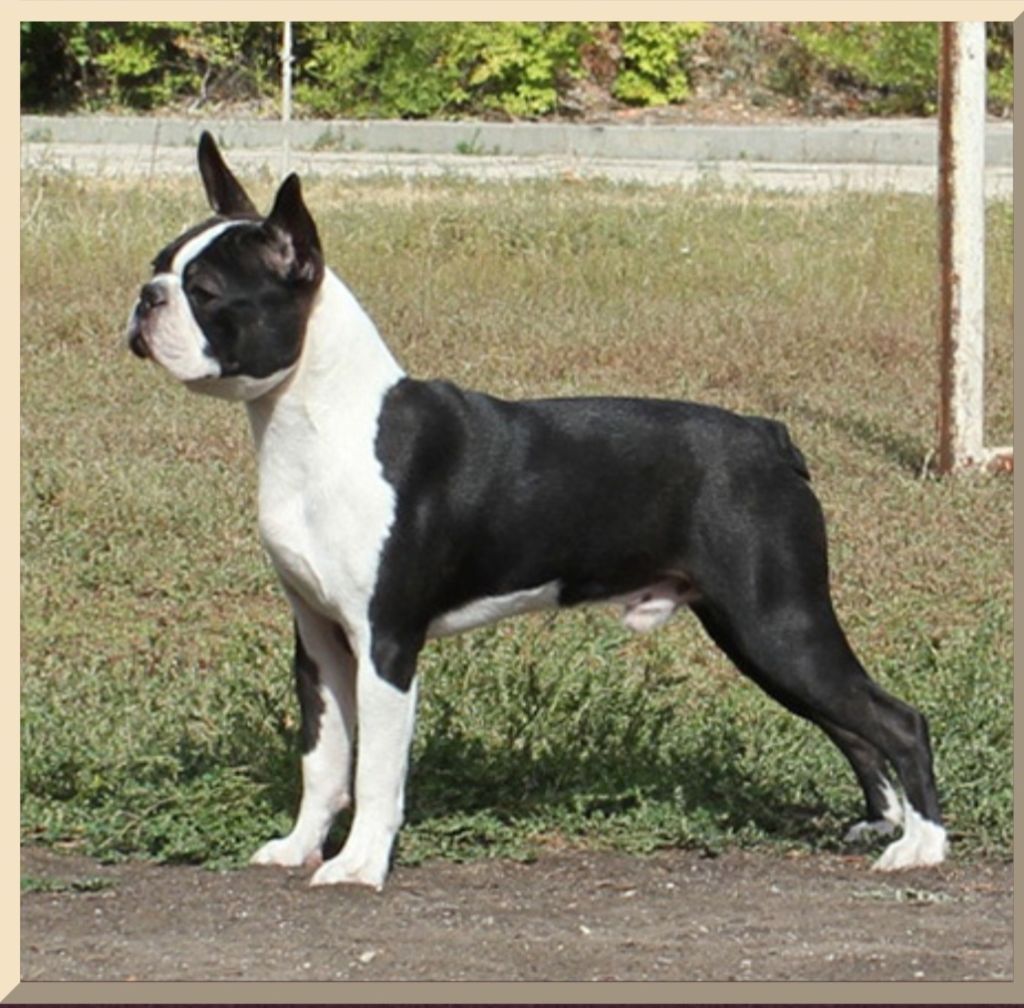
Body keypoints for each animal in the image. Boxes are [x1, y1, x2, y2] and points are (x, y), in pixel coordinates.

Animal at [126, 132, 947, 889]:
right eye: (159, 264)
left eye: (206, 291)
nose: (146, 296)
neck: (318, 421)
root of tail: (768, 436)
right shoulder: (320, 640)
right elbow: (323, 761)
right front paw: (299, 846)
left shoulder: (385, 641)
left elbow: (377, 772)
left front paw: (358, 866)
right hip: (756, 634)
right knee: (852, 725)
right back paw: (883, 822)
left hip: (777, 622)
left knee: (897, 719)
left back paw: (923, 846)